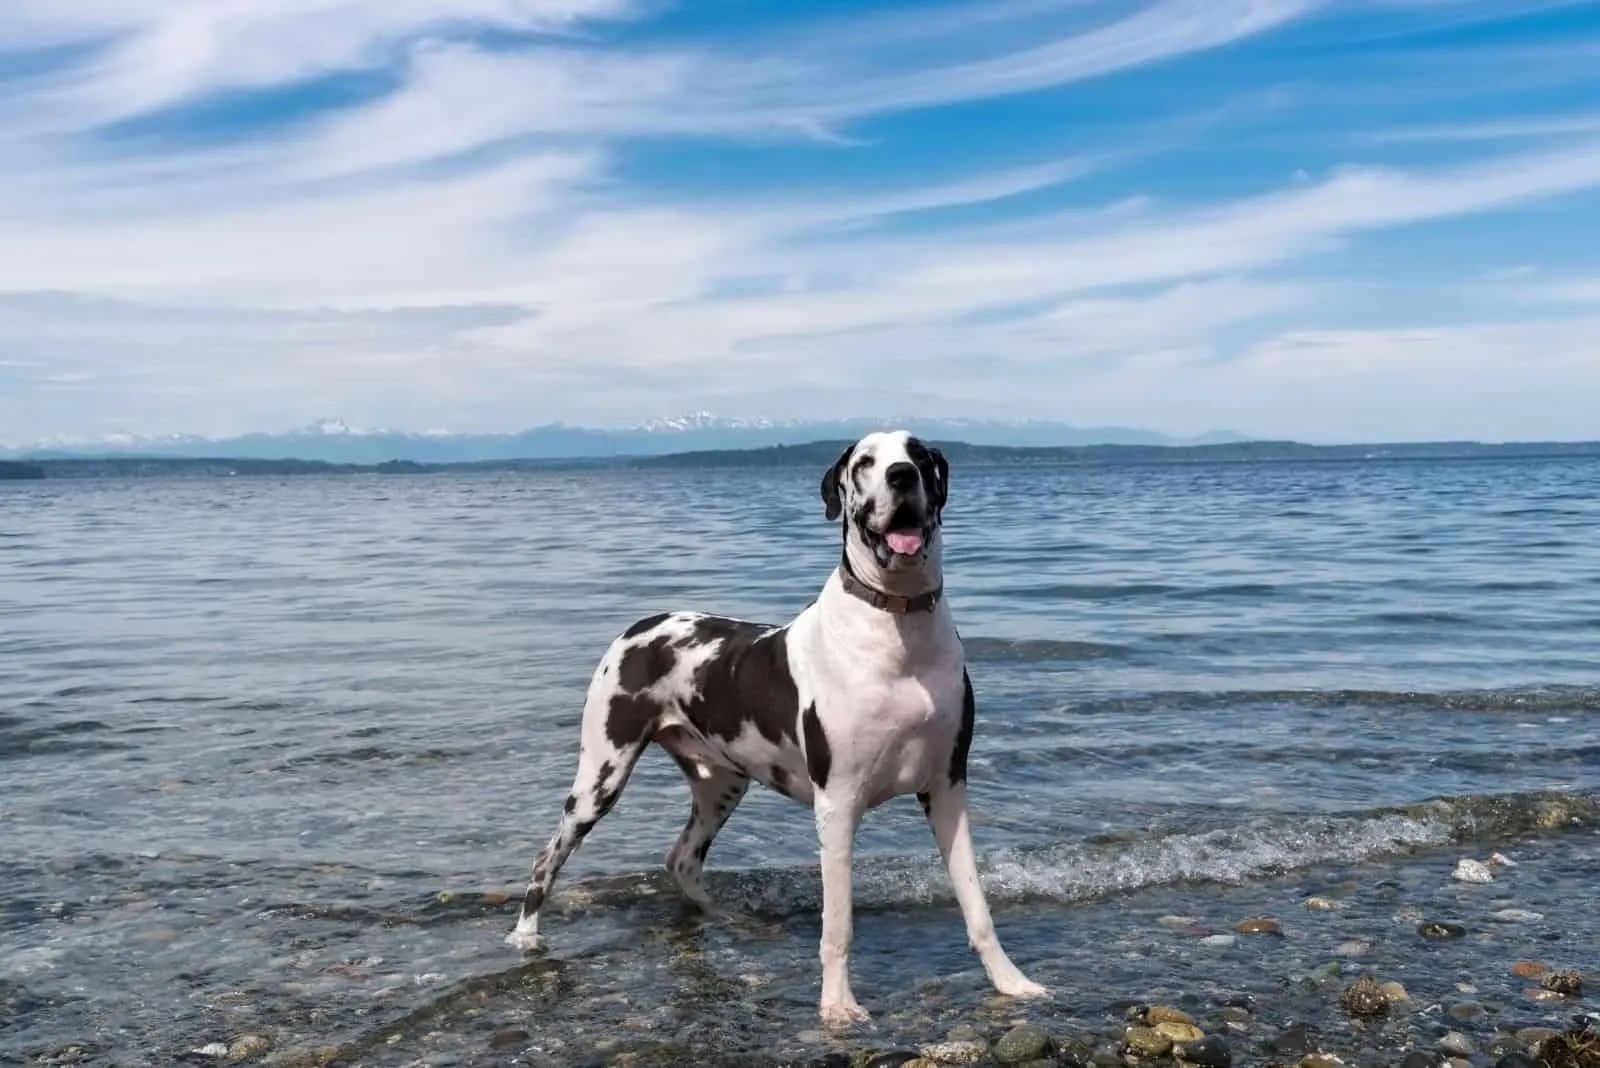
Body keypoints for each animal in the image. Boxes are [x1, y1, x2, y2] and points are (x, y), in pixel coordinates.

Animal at [505, 428, 1043, 1023]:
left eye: (919, 455)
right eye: (865, 463)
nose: (902, 476)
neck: (898, 627)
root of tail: (641, 625)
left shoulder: (947, 788)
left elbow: (976, 904)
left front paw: (1011, 982)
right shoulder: (838, 804)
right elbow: (838, 924)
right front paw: (837, 1006)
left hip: (721, 785)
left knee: (682, 858)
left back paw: (722, 916)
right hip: (601, 774)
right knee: (547, 858)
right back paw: (525, 935)